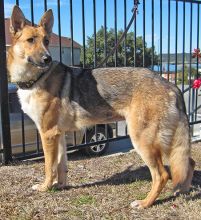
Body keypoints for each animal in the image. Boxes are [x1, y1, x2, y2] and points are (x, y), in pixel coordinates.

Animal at [7, 4, 195, 208]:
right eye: (31, 40)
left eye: (46, 41)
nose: (47, 59)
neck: (36, 79)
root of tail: (171, 85)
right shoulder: (60, 135)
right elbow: (61, 166)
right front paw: (61, 186)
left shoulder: (48, 134)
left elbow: (49, 167)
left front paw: (45, 187)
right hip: (169, 143)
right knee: (189, 163)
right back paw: (181, 191)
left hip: (143, 141)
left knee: (162, 175)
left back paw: (145, 203)